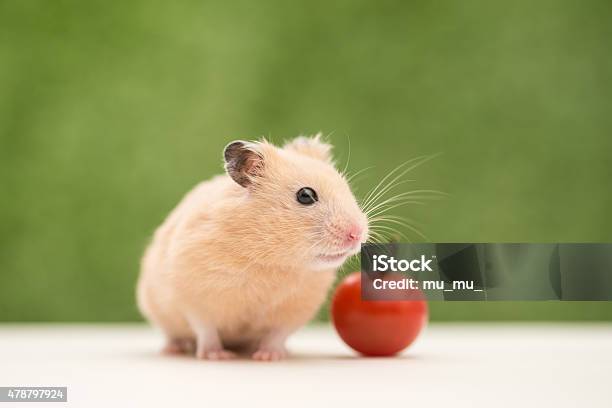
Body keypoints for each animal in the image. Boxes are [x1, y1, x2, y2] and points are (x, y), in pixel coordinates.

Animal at [137, 135, 368, 360]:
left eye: (346, 188)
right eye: (305, 195)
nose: (357, 234)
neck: (272, 259)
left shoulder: (295, 309)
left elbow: (277, 334)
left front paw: (269, 357)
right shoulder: (195, 296)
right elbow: (206, 329)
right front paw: (216, 356)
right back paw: (173, 349)